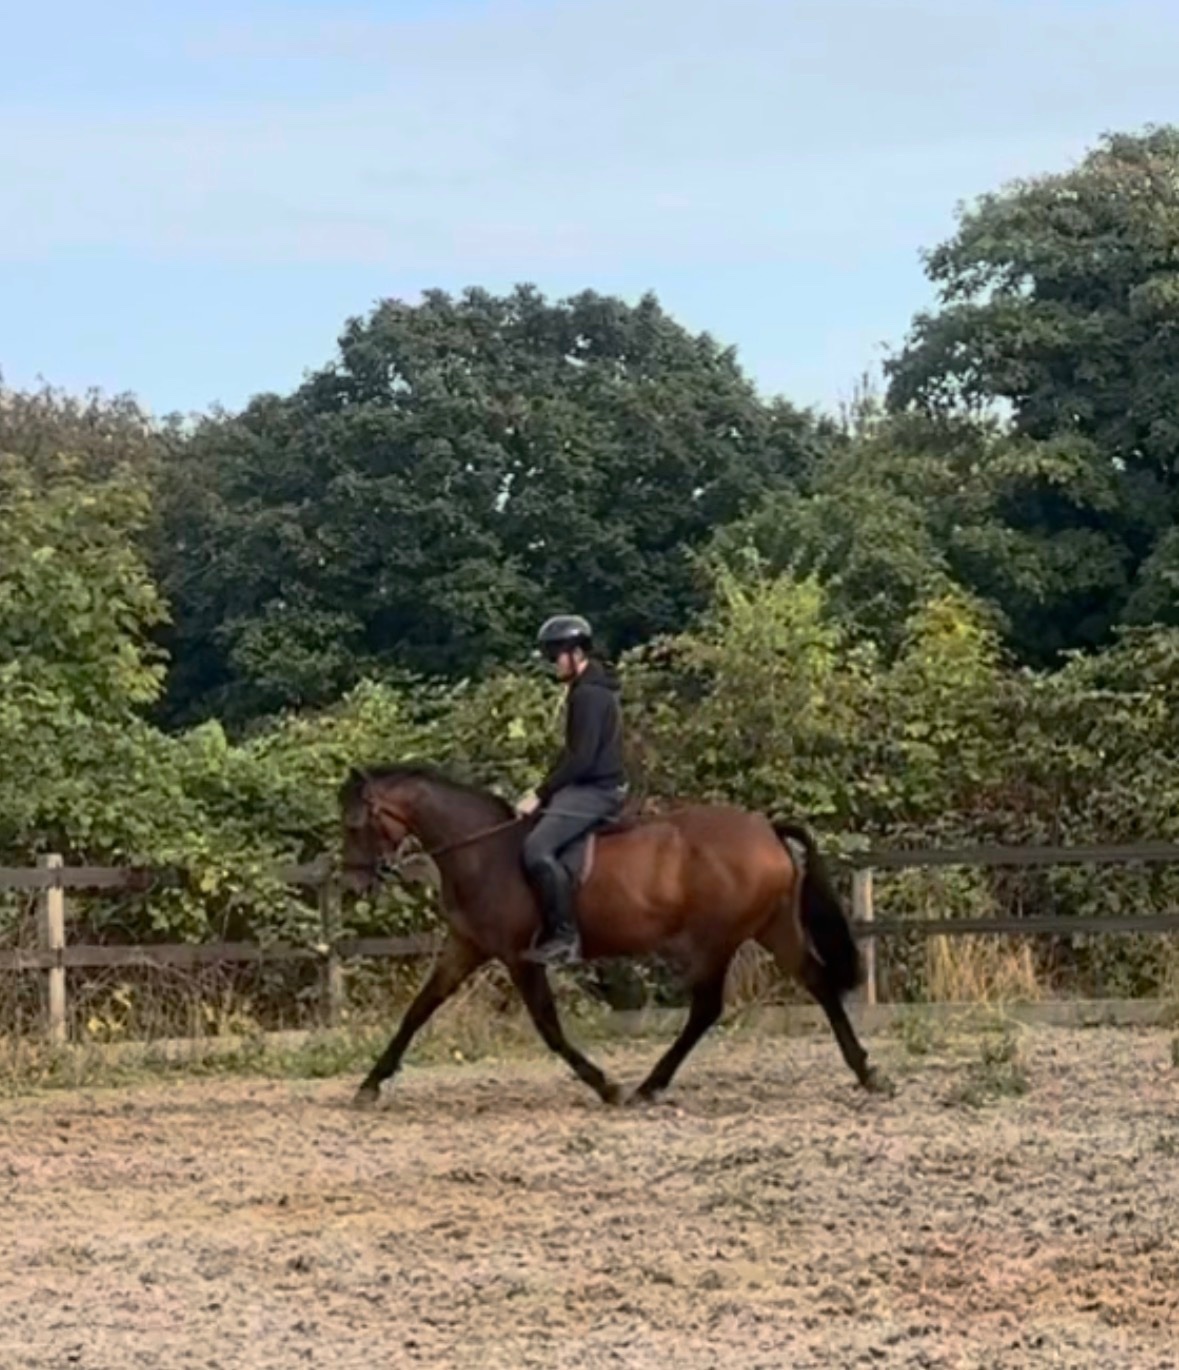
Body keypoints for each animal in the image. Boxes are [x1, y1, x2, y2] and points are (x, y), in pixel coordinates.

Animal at [338, 764, 891, 1108]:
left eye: (355, 824)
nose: (354, 884)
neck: (483, 853)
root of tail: (766, 830)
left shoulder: (520, 956)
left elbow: (549, 1027)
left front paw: (605, 1086)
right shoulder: (467, 946)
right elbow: (418, 1009)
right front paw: (369, 1084)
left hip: (715, 941)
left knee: (707, 1008)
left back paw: (648, 1086)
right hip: (772, 927)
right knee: (817, 983)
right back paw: (866, 1073)